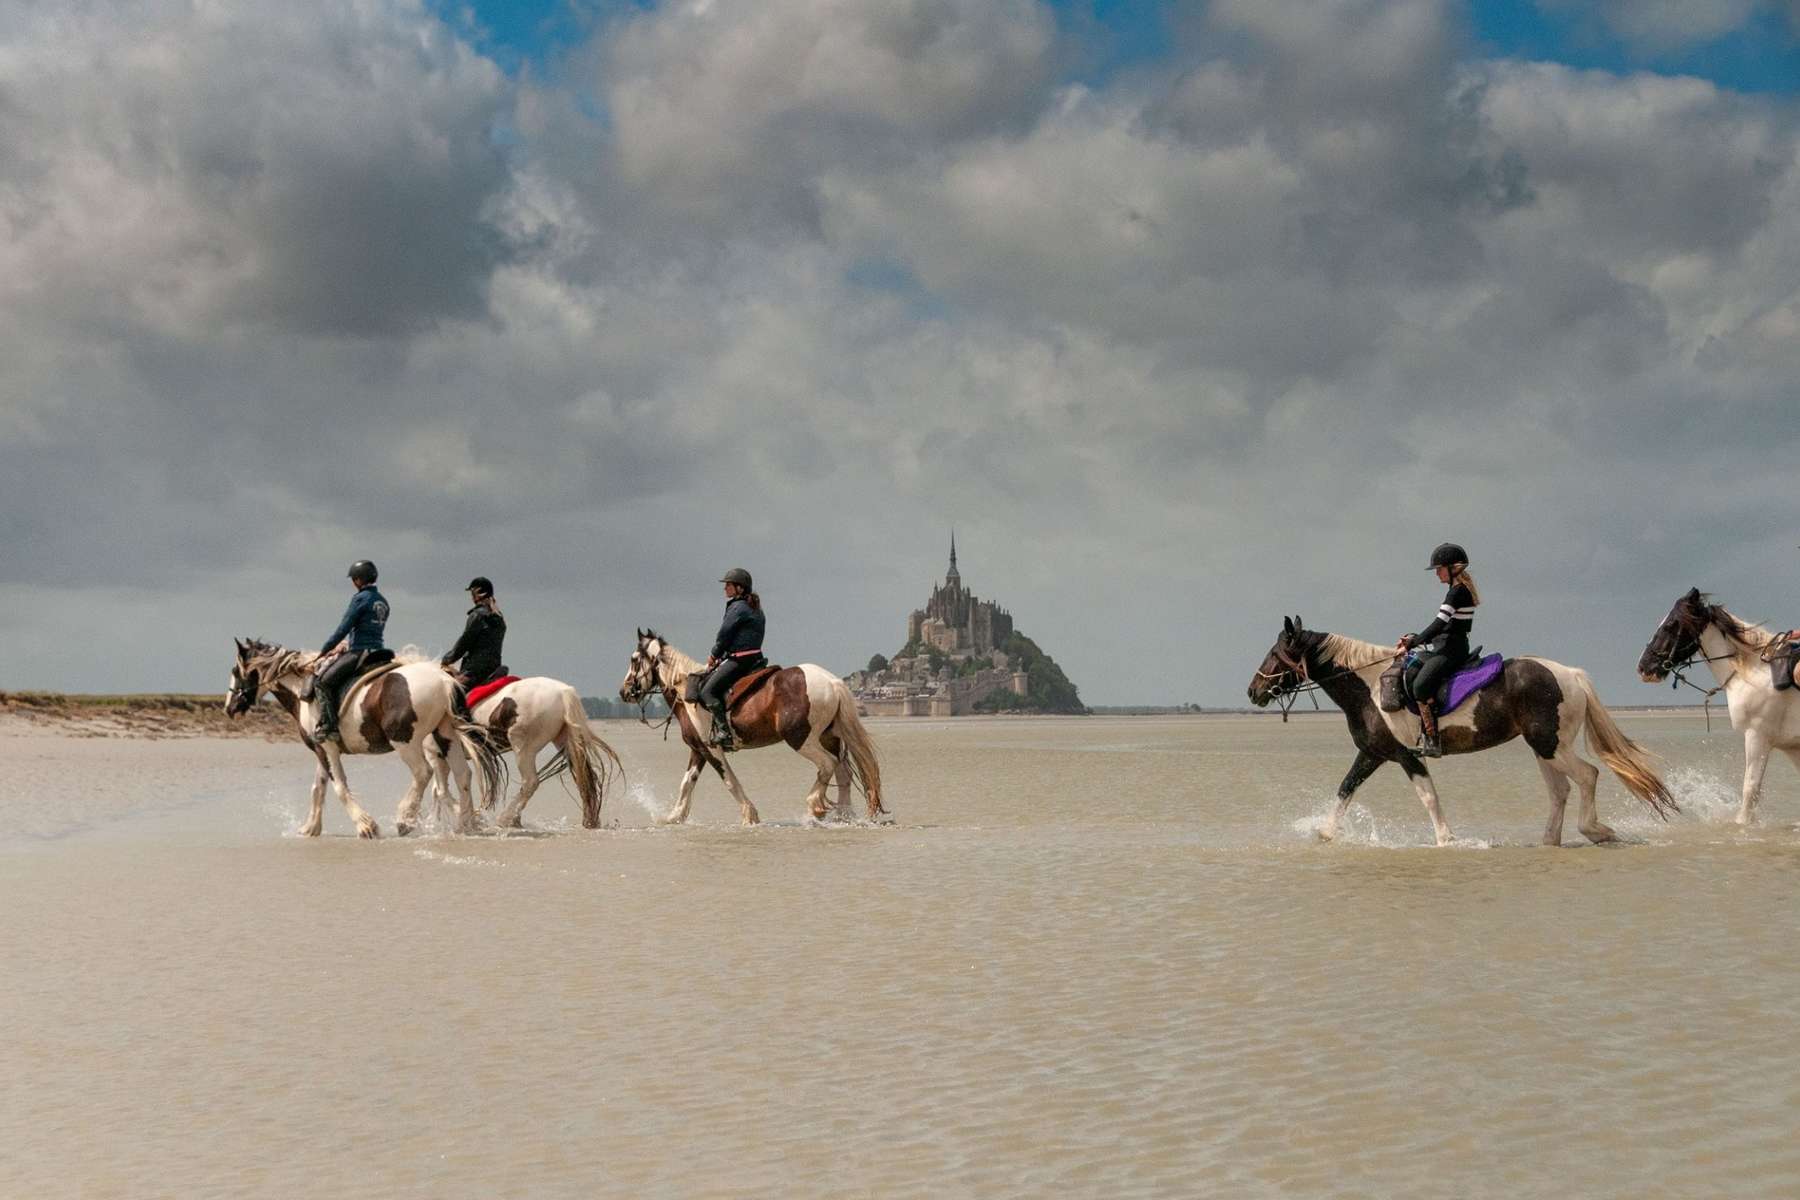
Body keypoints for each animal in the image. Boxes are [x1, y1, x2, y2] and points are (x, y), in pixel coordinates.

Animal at [228, 636, 507, 834]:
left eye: (235, 671)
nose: (229, 708)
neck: (302, 691)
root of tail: (445, 681)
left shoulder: (327, 748)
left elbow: (339, 786)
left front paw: (365, 825)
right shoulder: (324, 749)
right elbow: (318, 786)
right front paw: (310, 827)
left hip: (405, 741)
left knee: (423, 773)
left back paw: (405, 819)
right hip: (445, 735)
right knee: (462, 775)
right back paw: (466, 823)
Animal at [464, 680, 626, 831]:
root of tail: (564, 692)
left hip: (524, 747)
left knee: (530, 782)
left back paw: (506, 819)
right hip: (566, 741)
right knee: (584, 779)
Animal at [615, 629, 882, 827]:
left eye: (634, 659)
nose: (624, 691)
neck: (686, 692)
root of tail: (832, 682)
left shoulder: (712, 750)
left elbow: (729, 781)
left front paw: (749, 815)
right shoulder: (699, 749)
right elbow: (687, 782)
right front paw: (673, 816)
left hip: (801, 739)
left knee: (827, 765)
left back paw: (814, 806)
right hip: (829, 738)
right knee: (842, 772)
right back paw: (844, 816)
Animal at [1245, 618, 1677, 845]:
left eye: (1274, 654)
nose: (1253, 691)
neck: (1369, 688)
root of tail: (1569, 674)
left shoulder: (1405, 755)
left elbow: (1429, 798)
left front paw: (1446, 841)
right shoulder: (1372, 754)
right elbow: (1345, 789)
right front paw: (1325, 834)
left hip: (1550, 744)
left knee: (1587, 776)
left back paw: (1596, 830)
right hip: (1544, 747)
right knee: (1561, 790)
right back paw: (1548, 841)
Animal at [1634, 590, 1800, 827]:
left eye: (1671, 625)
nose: (1643, 667)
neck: (1753, 672)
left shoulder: (1757, 736)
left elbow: (1750, 790)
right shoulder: (1791, 746)